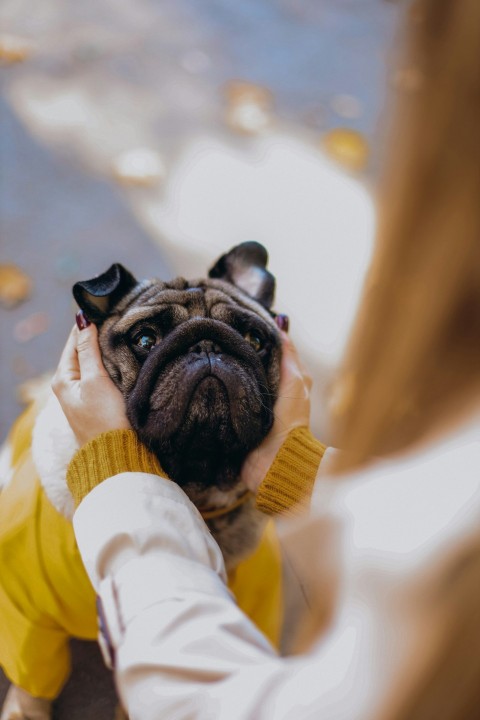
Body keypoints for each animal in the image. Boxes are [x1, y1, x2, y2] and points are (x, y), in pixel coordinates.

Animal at [0, 243, 284, 720]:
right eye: (145, 339)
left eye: (254, 341)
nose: (207, 344)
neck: (191, 489)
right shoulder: (24, 612)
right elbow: (31, 681)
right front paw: (24, 710)